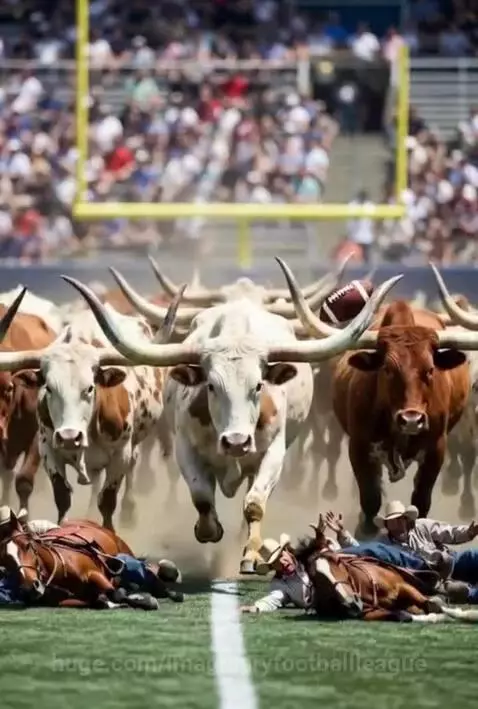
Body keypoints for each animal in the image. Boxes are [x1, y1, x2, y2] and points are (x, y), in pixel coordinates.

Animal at [0, 291, 185, 530]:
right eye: (48, 388)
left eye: (89, 388)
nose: (69, 437)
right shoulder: (48, 450)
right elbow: (63, 497)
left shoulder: (120, 455)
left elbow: (107, 499)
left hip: (158, 427)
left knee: (140, 464)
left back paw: (130, 509)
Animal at [60, 266, 402, 573]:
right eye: (211, 386)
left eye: (259, 385)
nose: (237, 441)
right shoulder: (185, 448)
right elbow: (201, 498)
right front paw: (209, 531)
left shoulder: (274, 452)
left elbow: (254, 503)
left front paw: (250, 555)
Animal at [277, 258, 478, 537]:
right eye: (387, 369)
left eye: (430, 370)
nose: (412, 420)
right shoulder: (359, 447)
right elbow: (370, 498)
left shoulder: (437, 448)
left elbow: (421, 501)